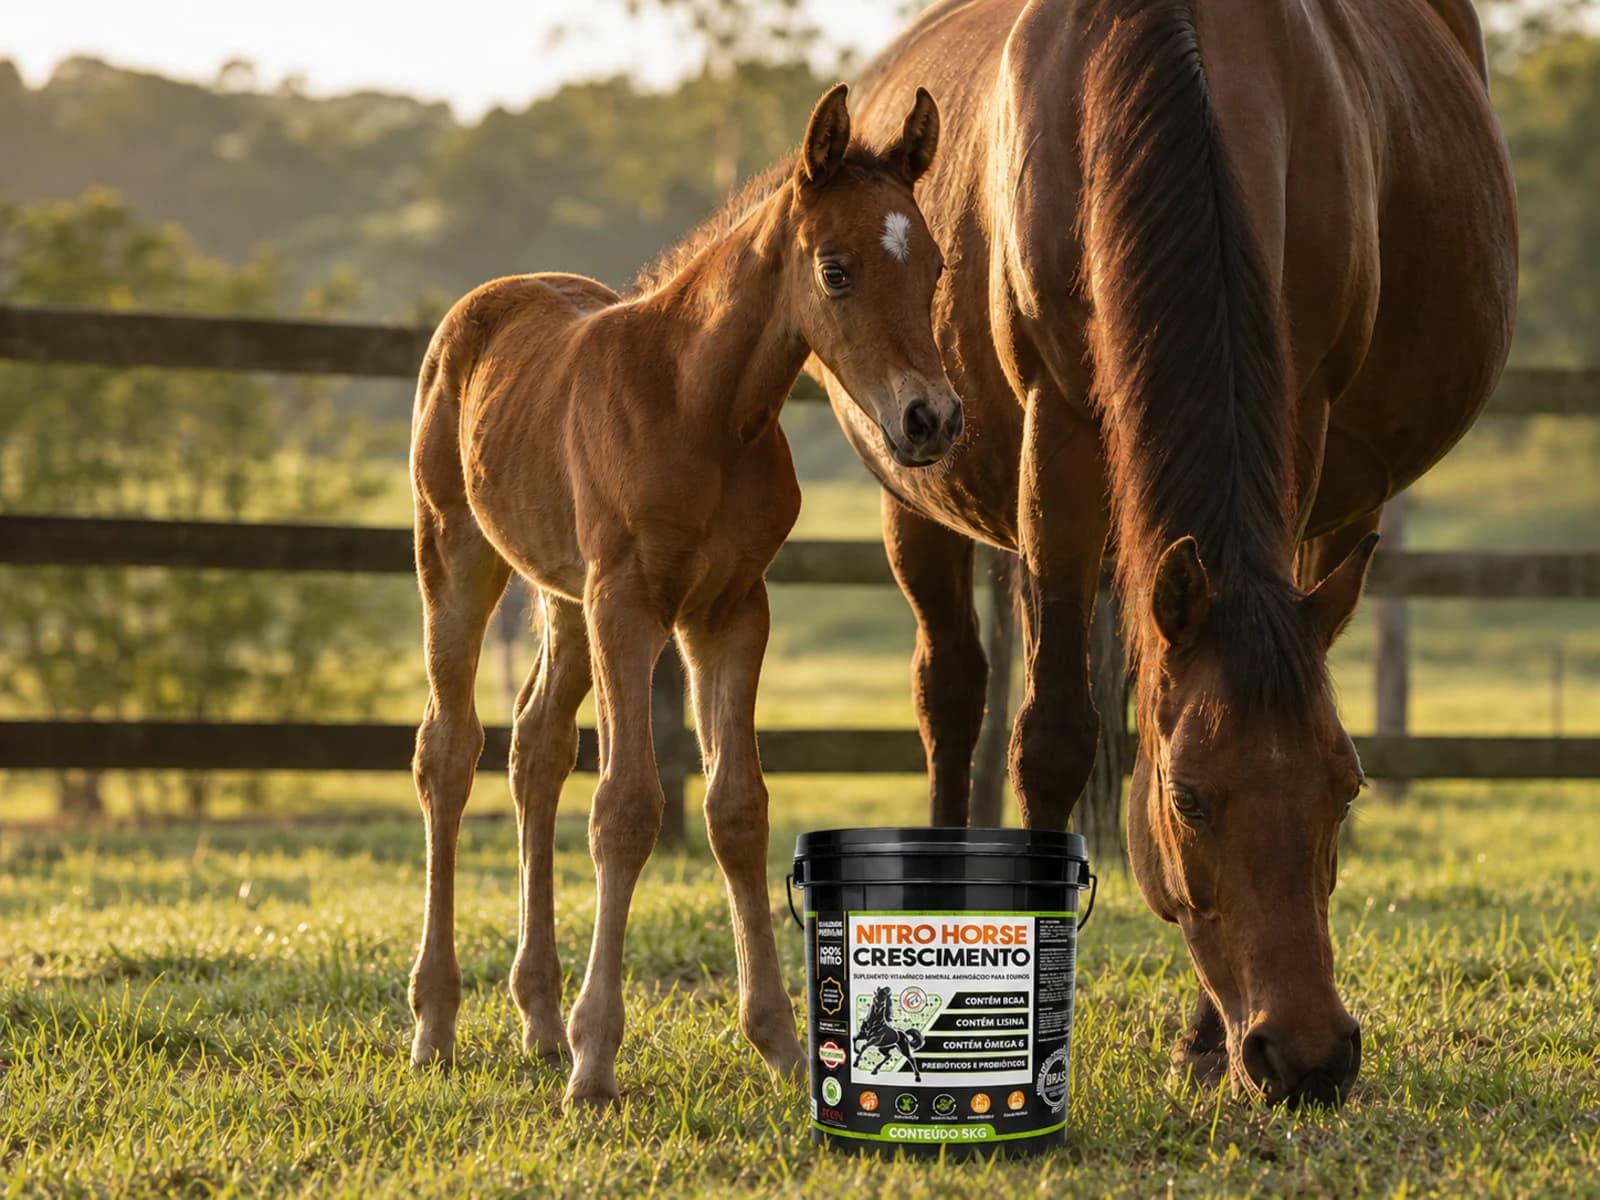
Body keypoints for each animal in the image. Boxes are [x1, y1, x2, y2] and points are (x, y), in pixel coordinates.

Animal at [404, 84, 962, 1106]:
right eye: (836, 270)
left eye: (937, 266)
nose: (931, 418)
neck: (700, 408)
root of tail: (484, 303)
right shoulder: (630, 602)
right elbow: (627, 808)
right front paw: (595, 1062)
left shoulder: (730, 609)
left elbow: (737, 809)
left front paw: (782, 1045)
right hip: (458, 553)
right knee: (449, 752)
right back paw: (438, 1023)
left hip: (564, 597)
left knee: (536, 750)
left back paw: (536, 1016)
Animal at [816, 0, 1517, 1106]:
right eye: (1187, 798)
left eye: (1346, 786)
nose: (1308, 1056)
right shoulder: (1055, 426)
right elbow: (1051, 734)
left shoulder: (1298, 409)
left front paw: (1202, 1041)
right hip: (915, 488)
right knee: (951, 695)